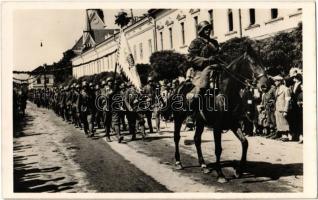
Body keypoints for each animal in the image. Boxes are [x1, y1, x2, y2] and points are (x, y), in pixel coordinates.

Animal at [166, 46, 268, 183]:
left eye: (262, 61)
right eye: (253, 63)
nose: (265, 85)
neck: (225, 93)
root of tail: (178, 87)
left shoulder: (233, 124)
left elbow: (245, 143)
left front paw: (238, 171)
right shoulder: (217, 127)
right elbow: (218, 149)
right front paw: (220, 175)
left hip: (200, 122)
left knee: (197, 139)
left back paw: (203, 165)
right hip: (178, 117)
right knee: (177, 137)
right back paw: (178, 162)